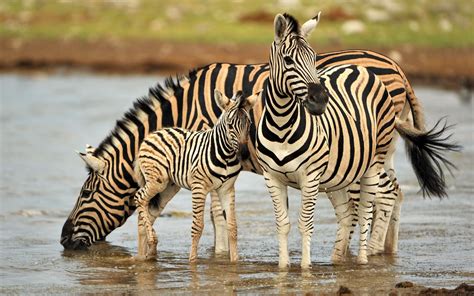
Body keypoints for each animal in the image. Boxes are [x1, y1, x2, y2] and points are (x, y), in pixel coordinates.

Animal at [133, 88, 260, 262]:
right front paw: (192, 261)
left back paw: (146, 253)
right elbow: (197, 226)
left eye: (249, 124)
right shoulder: (199, 187)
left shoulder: (227, 188)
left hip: (169, 186)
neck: (226, 156)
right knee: (139, 198)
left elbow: (232, 226)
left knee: (145, 206)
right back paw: (152, 240)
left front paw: (235, 261)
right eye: (229, 126)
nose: (244, 154)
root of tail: (153, 133)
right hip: (157, 181)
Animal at [256, 12, 460, 268]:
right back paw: (339, 260)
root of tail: (360, 69)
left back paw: (364, 259)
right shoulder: (272, 177)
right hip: (341, 173)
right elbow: (283, 224)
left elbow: (306, 224)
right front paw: (283, 268)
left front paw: (305, 269)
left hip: (372, 164)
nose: (320, 99)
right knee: (349, 212)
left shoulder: (310, 177)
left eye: (314, 58)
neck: (282, 125)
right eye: (288, 60)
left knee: (366, 209)